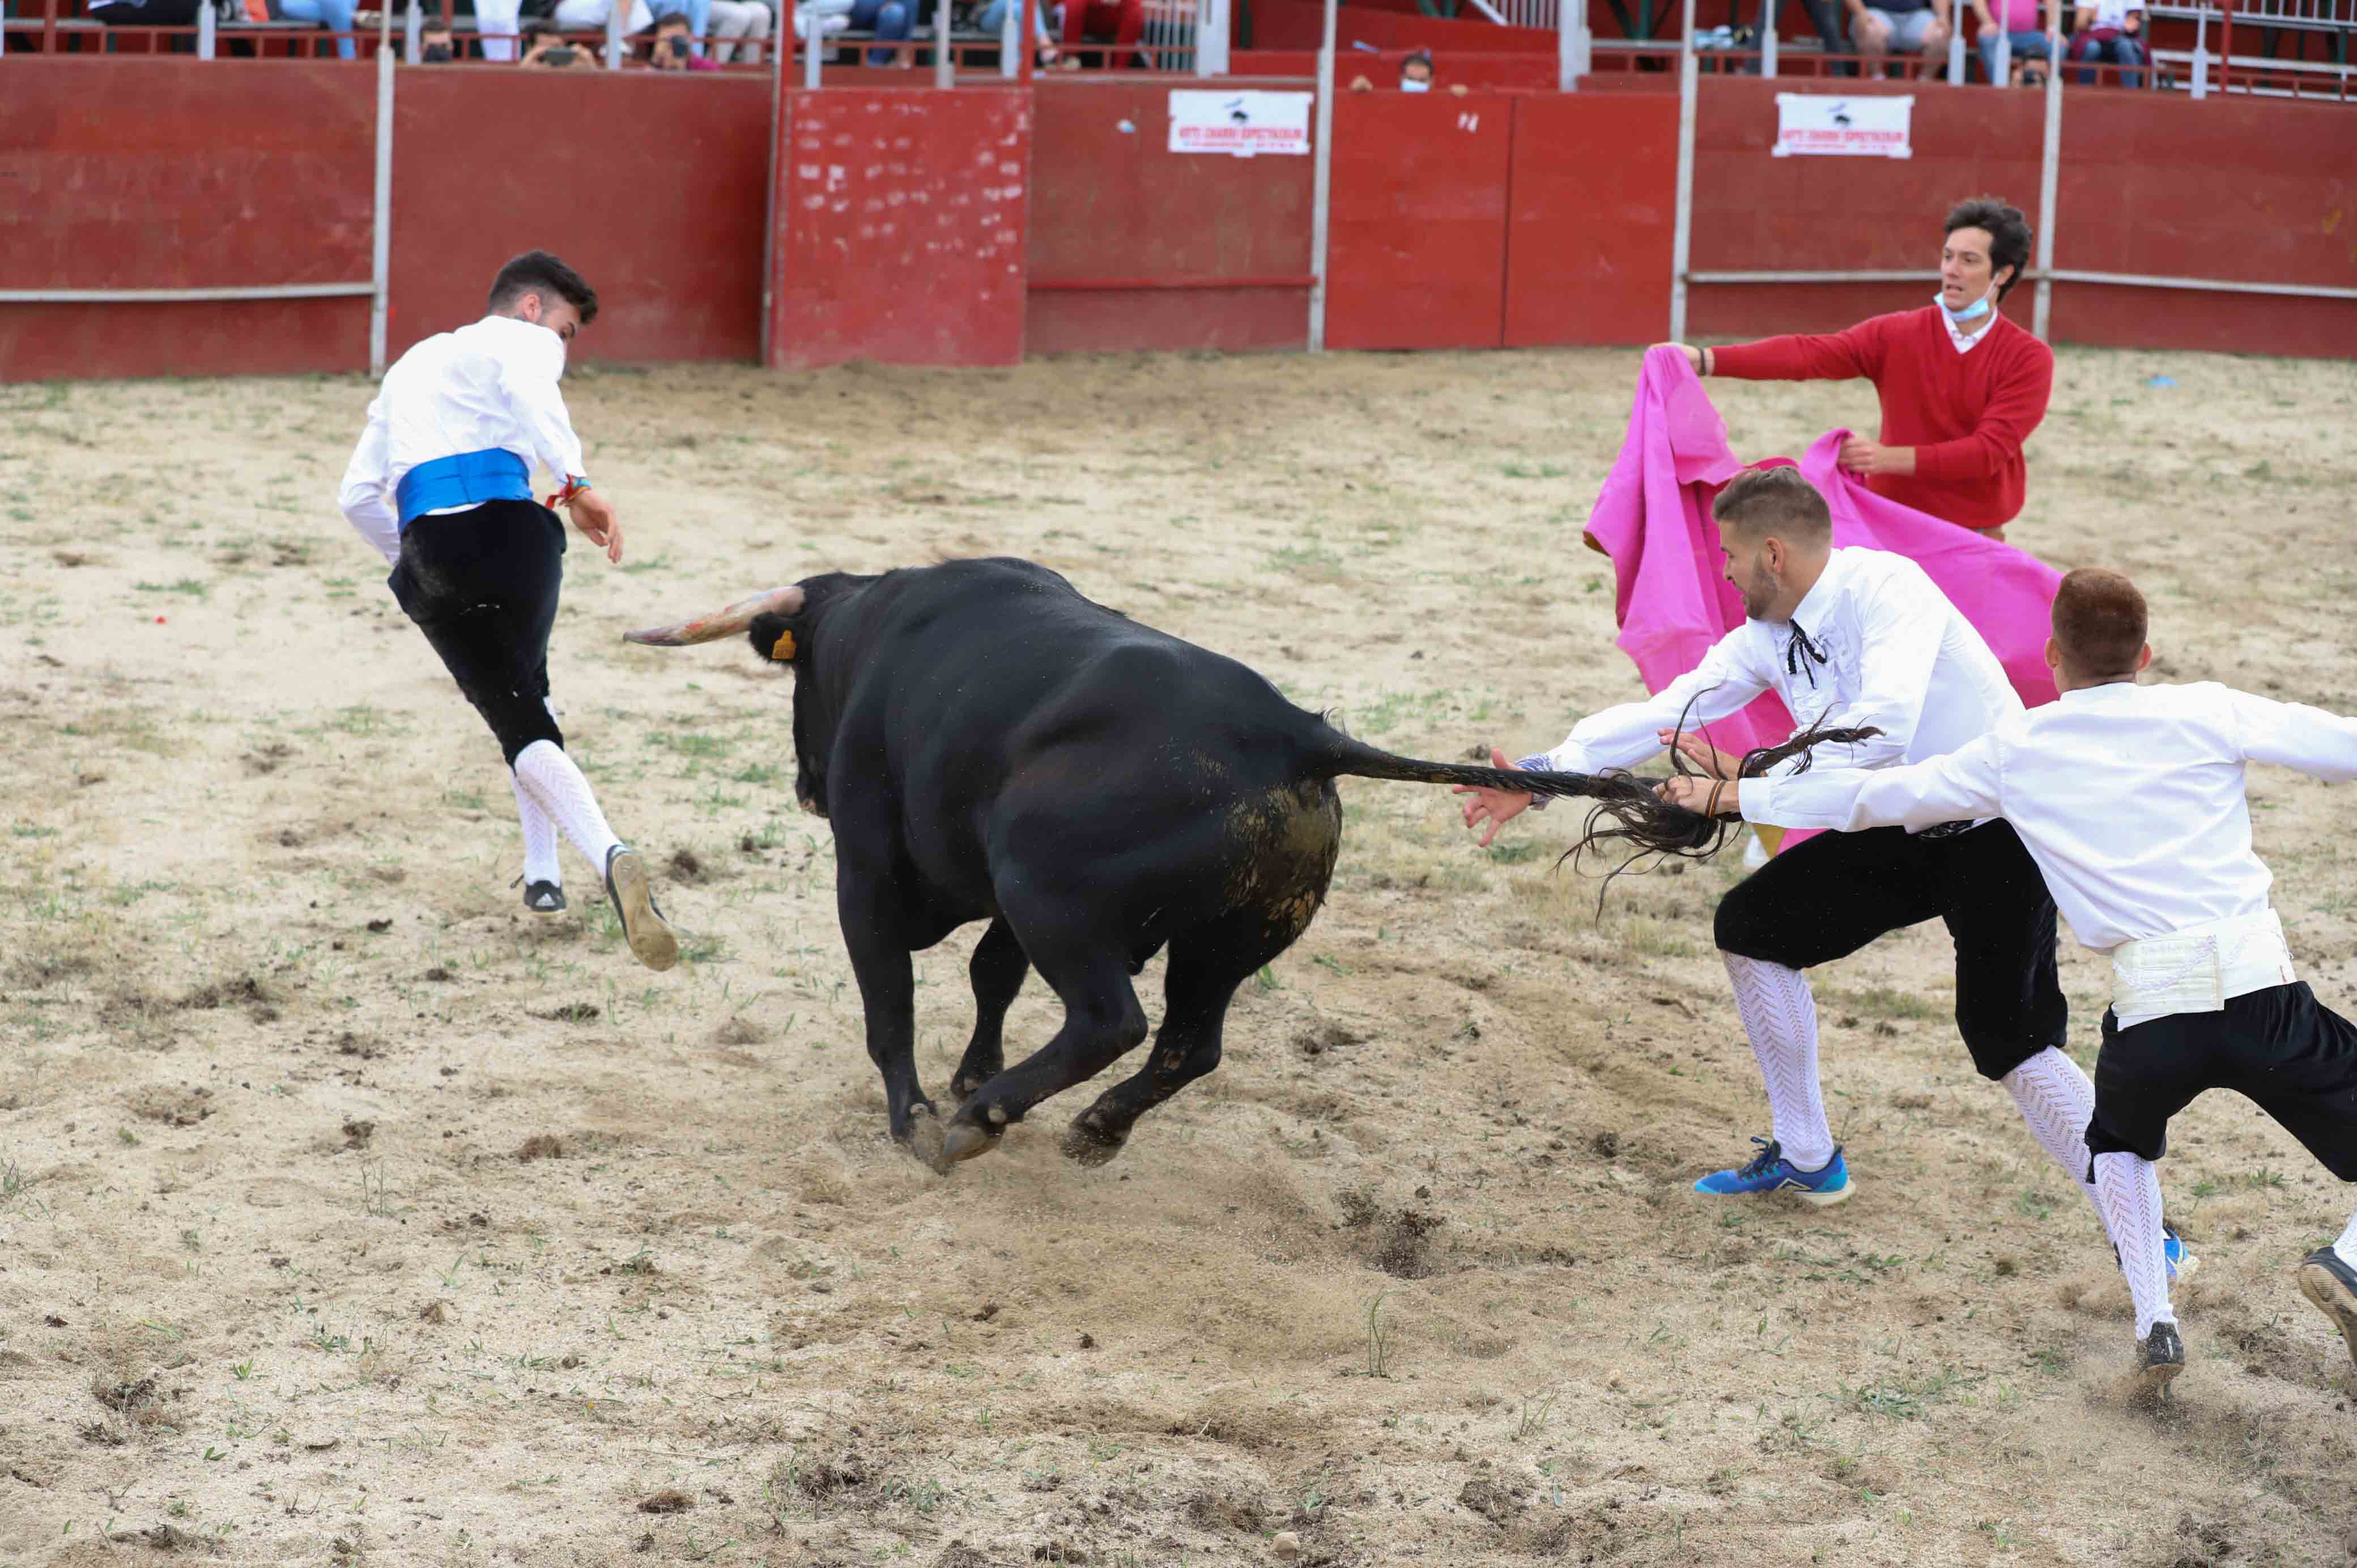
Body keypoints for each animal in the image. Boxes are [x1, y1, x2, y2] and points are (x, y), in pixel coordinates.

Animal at [617, 556, 1706, 1169]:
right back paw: (1089, 1127)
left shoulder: (873, 876)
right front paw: (974, 1070)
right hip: (1229, 936)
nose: (805, 784)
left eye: (797, 677)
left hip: (1053, 897)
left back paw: (980, 1120)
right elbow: (991, 975)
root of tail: (1295, 735)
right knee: (1188, 1042)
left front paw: (922, 1109)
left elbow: (892, 1000)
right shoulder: (1006, 906)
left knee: (1114, 1021)